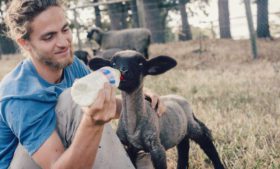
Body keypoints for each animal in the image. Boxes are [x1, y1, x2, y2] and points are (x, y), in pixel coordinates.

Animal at [89, 50, 225, 169]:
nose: (123, 72)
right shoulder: (130, 147)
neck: (134, 126)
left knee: (207, 143)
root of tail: (179, 98)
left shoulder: (156, 148)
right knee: (183, 147)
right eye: (113, 64)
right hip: (180, 130)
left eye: (140, 63)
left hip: (192, 125)